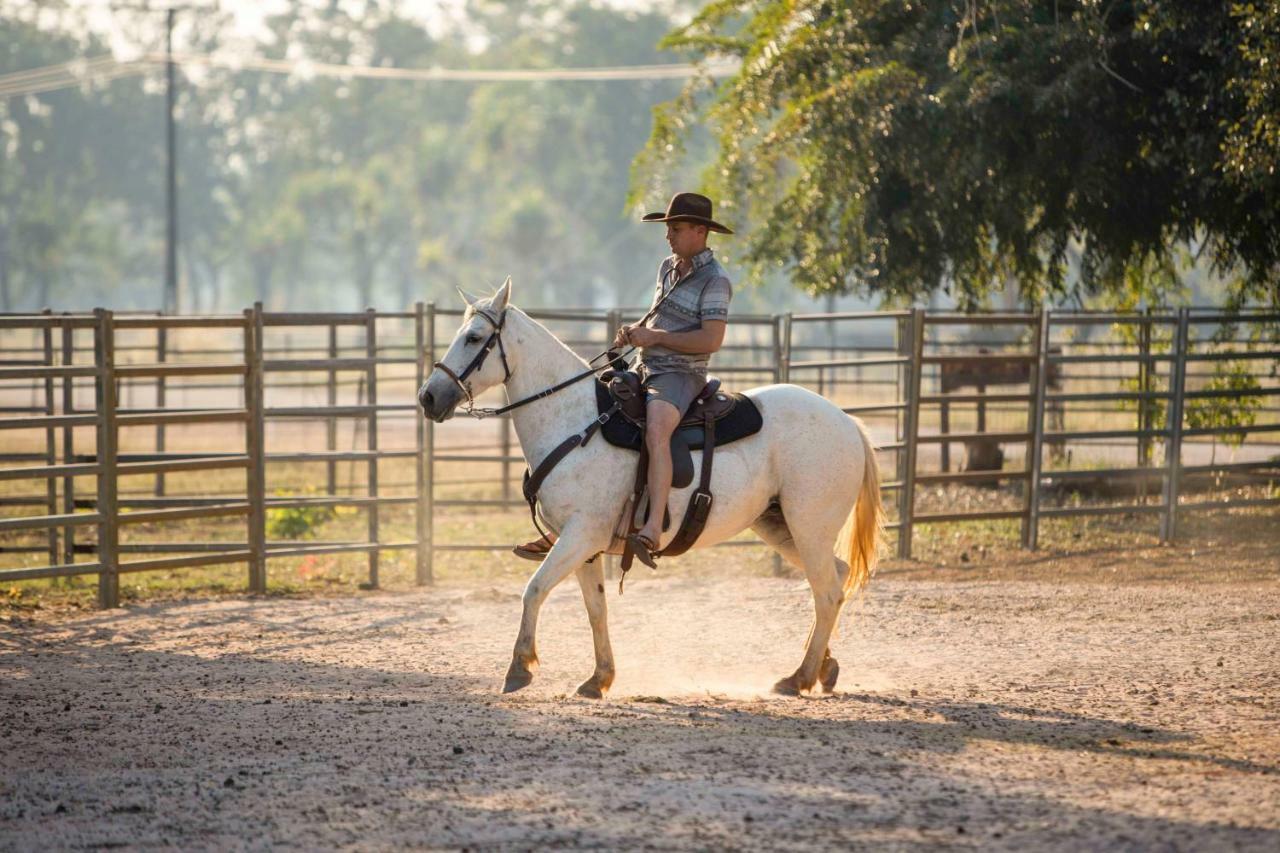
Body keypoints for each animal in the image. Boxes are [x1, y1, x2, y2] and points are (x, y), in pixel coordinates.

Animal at [419, 281, 880, 696]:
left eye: (474, 338)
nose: (427, 397)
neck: (575, 421)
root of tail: (847, 422)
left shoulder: (580, 534)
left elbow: (534, 589)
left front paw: (519, 667)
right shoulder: (583, 544)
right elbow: (596, 609)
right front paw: (600, 678)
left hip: (809, 527)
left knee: (826, 591)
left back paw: (799, 677)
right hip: (780, 527)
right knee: (834, 581)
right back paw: (823, 667)